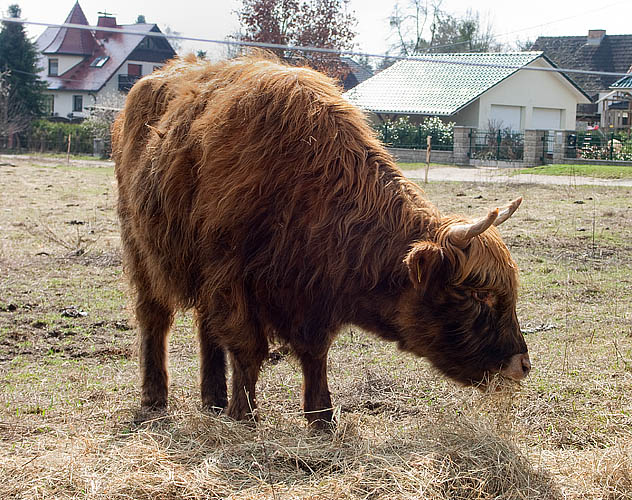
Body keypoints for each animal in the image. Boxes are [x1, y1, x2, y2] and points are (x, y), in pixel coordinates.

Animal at [111, 53, 532, 426]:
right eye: (479, 295)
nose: (523, 364)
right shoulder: (231, 278)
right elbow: (248, 348)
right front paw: (244, 415)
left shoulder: (311, 295)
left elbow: (314, 355)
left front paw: (321, 418)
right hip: (142, 249)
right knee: (154, 317)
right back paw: (155, 398)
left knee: (205, 327)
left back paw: (212, 400)